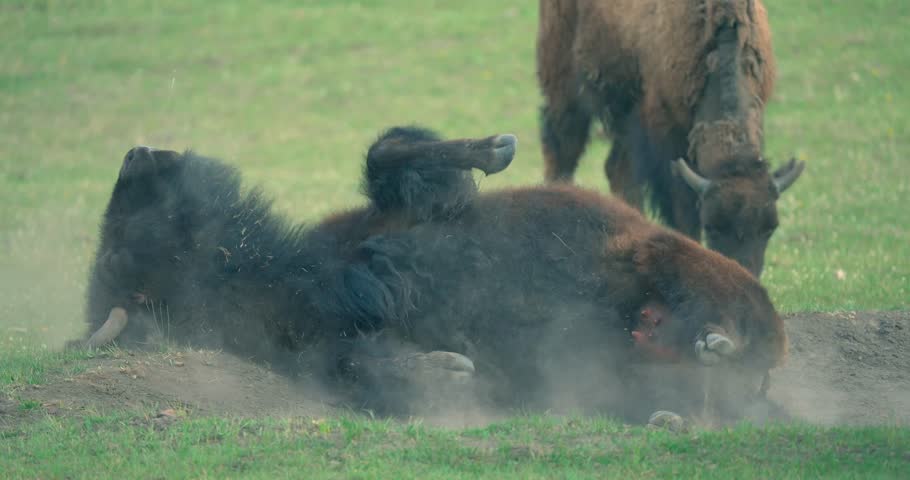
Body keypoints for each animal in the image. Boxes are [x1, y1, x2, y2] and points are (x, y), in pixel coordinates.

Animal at [75, 126, 787, 423]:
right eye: (115, 253)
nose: (138, 153)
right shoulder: (321, 347)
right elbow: (363, 368)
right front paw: (447, 374)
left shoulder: (396, 215)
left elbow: (389, 152)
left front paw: (494, 149)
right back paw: (702, 367)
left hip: (663, 261)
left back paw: (715, 341)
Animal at [537, 0, 805, 276]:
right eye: (712, 226)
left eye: (770, 228)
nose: (743, 272)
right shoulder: (667, 136)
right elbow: (682, 206)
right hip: (565, 87)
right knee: (563, 149)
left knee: (617, 170)